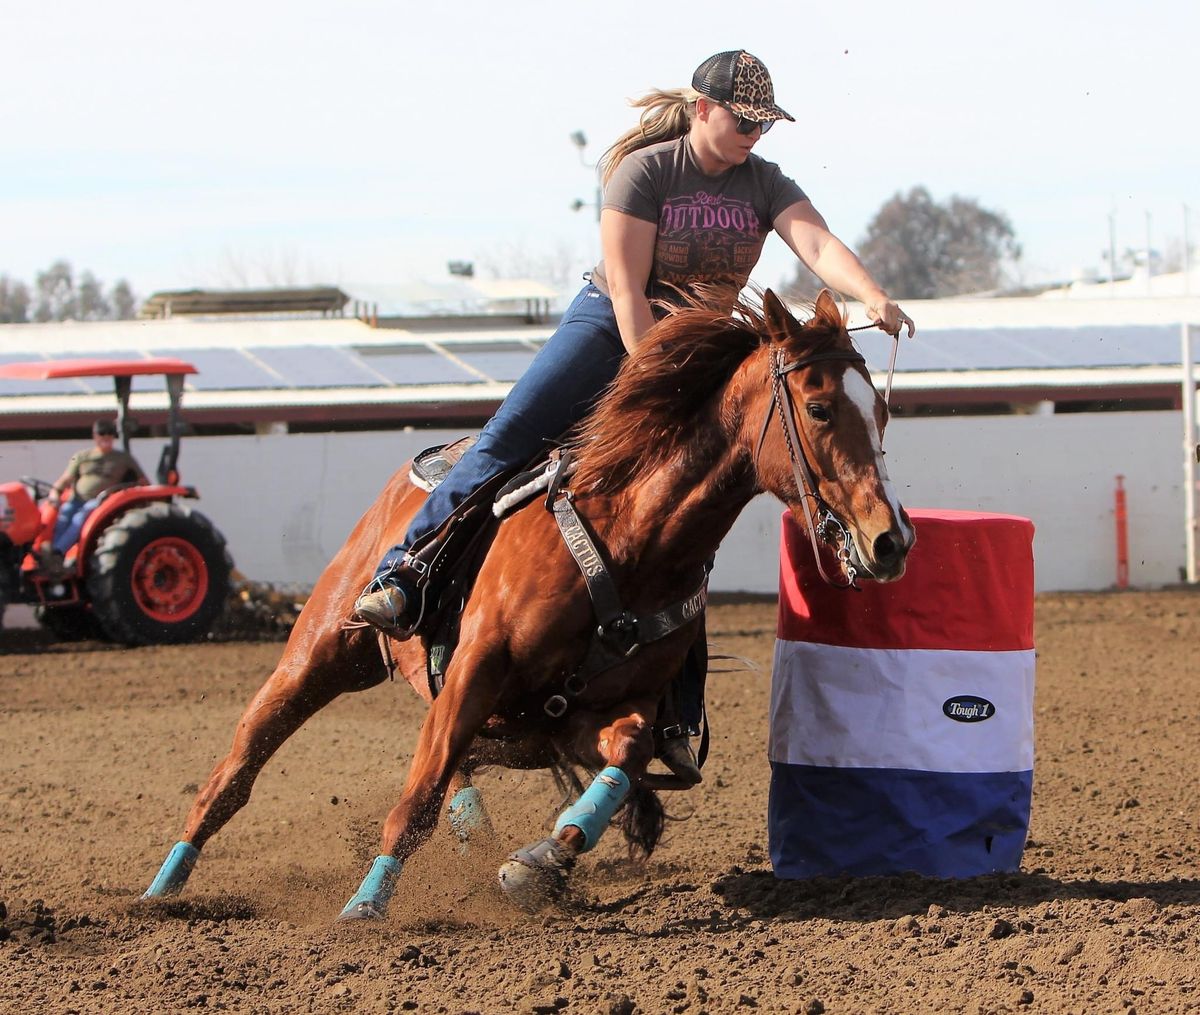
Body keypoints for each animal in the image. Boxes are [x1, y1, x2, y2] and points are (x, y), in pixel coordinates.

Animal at [142, 287, 907, 921]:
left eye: (883, 411)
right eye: (819, 407)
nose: (890, 539)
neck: (631, 538)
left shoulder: (589, 713)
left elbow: (626, 757)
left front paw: (538, 863)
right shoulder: (479, 668)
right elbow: (415, 798)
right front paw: (365, 906)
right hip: (322, 652)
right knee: (238, 769)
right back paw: (162, 887)